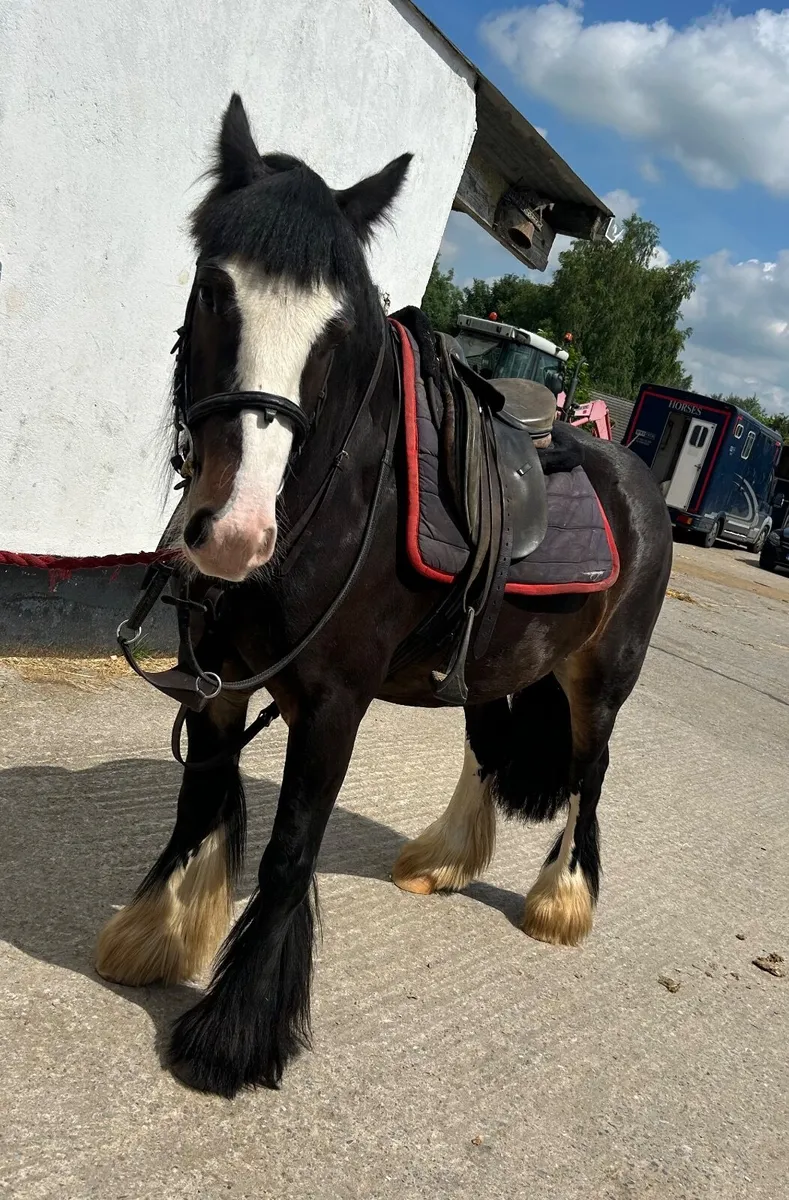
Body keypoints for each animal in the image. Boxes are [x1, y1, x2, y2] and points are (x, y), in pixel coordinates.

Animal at [95, 95, 673, 1098]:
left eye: (334, 329)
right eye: (212, 287)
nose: (235, 532)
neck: (328, 500)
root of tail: (635, 477)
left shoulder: (333, 705)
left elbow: (290, 850)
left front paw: (235, 1033)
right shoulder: (214, 681)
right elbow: (200, 805)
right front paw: (157, 936)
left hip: (599, 683)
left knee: (587, 779)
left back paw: (558, 903)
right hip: (495, 664)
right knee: (487, 748)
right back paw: (443, 861)